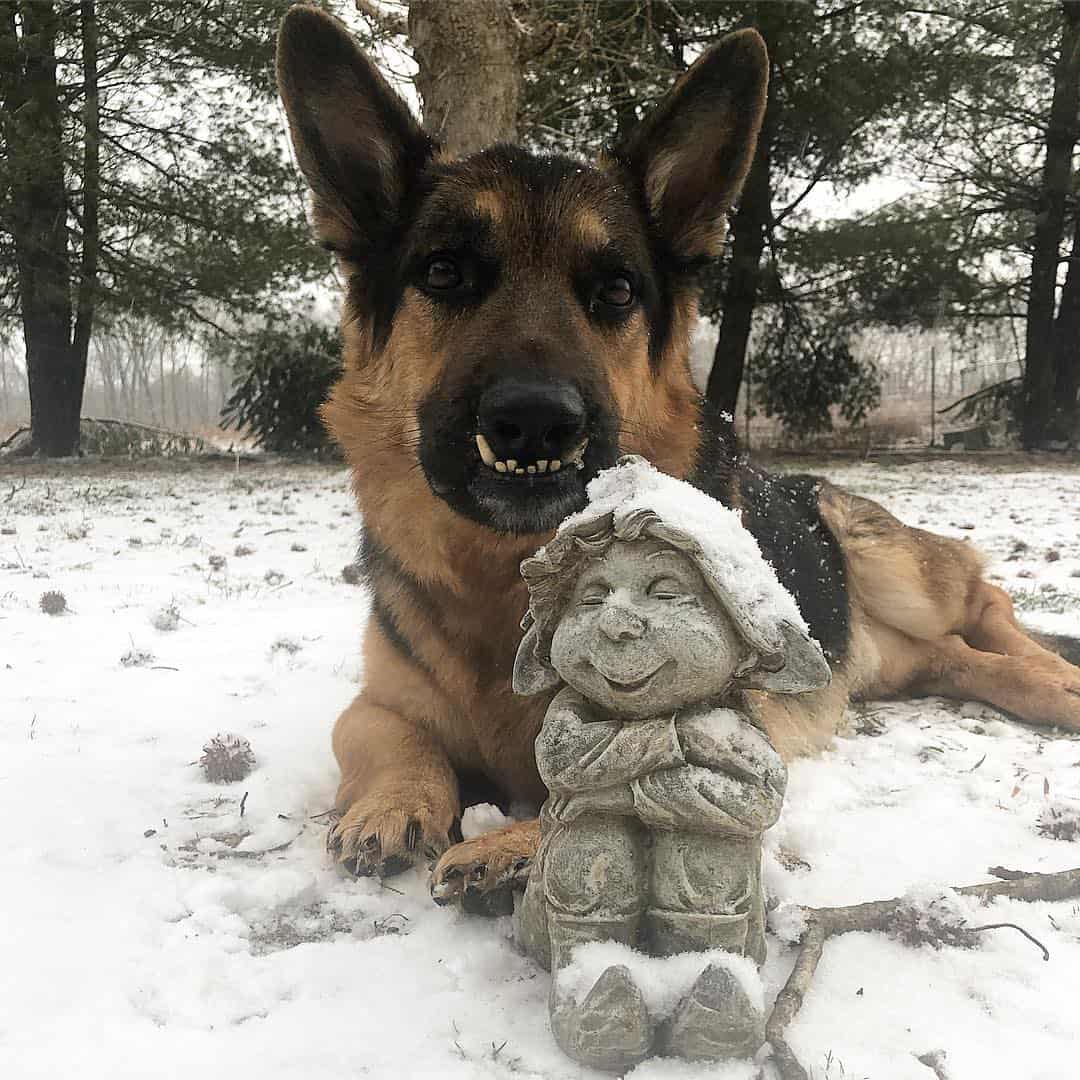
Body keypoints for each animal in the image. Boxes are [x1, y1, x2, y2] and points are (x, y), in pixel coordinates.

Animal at [276, 6, 1080, 902]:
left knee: (989, 610)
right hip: (899, 654)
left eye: (618, 291)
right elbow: (382, 736)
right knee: (958, 660)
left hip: (888, 565)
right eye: (444, 272)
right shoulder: (379, 703)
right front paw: (392, 802)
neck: (503, 571)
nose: (535, 423)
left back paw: (1059, 681)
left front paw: (513, 844)